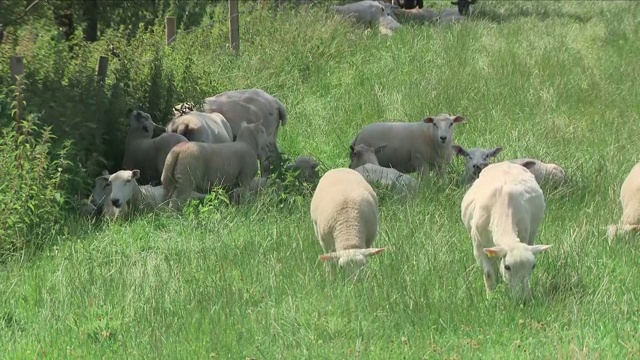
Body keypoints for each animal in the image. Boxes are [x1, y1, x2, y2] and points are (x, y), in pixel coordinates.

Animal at [460, 161, 556, 300]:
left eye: (533, 266)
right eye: (507, 267)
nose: (523, 299)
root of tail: (506, 162)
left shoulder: (524, 236)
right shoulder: (478, 247)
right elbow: (488, 274)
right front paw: (491, 297)